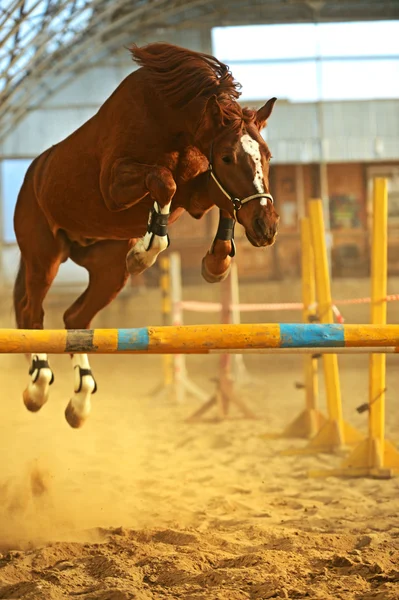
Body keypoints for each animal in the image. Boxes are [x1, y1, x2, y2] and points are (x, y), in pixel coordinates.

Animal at [14, 42, 280, 426]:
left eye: (267, 155)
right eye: (228, 157)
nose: (266, 227)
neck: (171, 121)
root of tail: (32, 175)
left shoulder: (195, 194)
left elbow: (219, 201)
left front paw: (216, 264)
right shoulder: (114, 187)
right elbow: (163, 181)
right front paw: (146, 251)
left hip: (109, 271)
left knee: (75, 319)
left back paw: (80, 401)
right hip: (43, 257)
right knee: (32, 313)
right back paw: (38, 387)